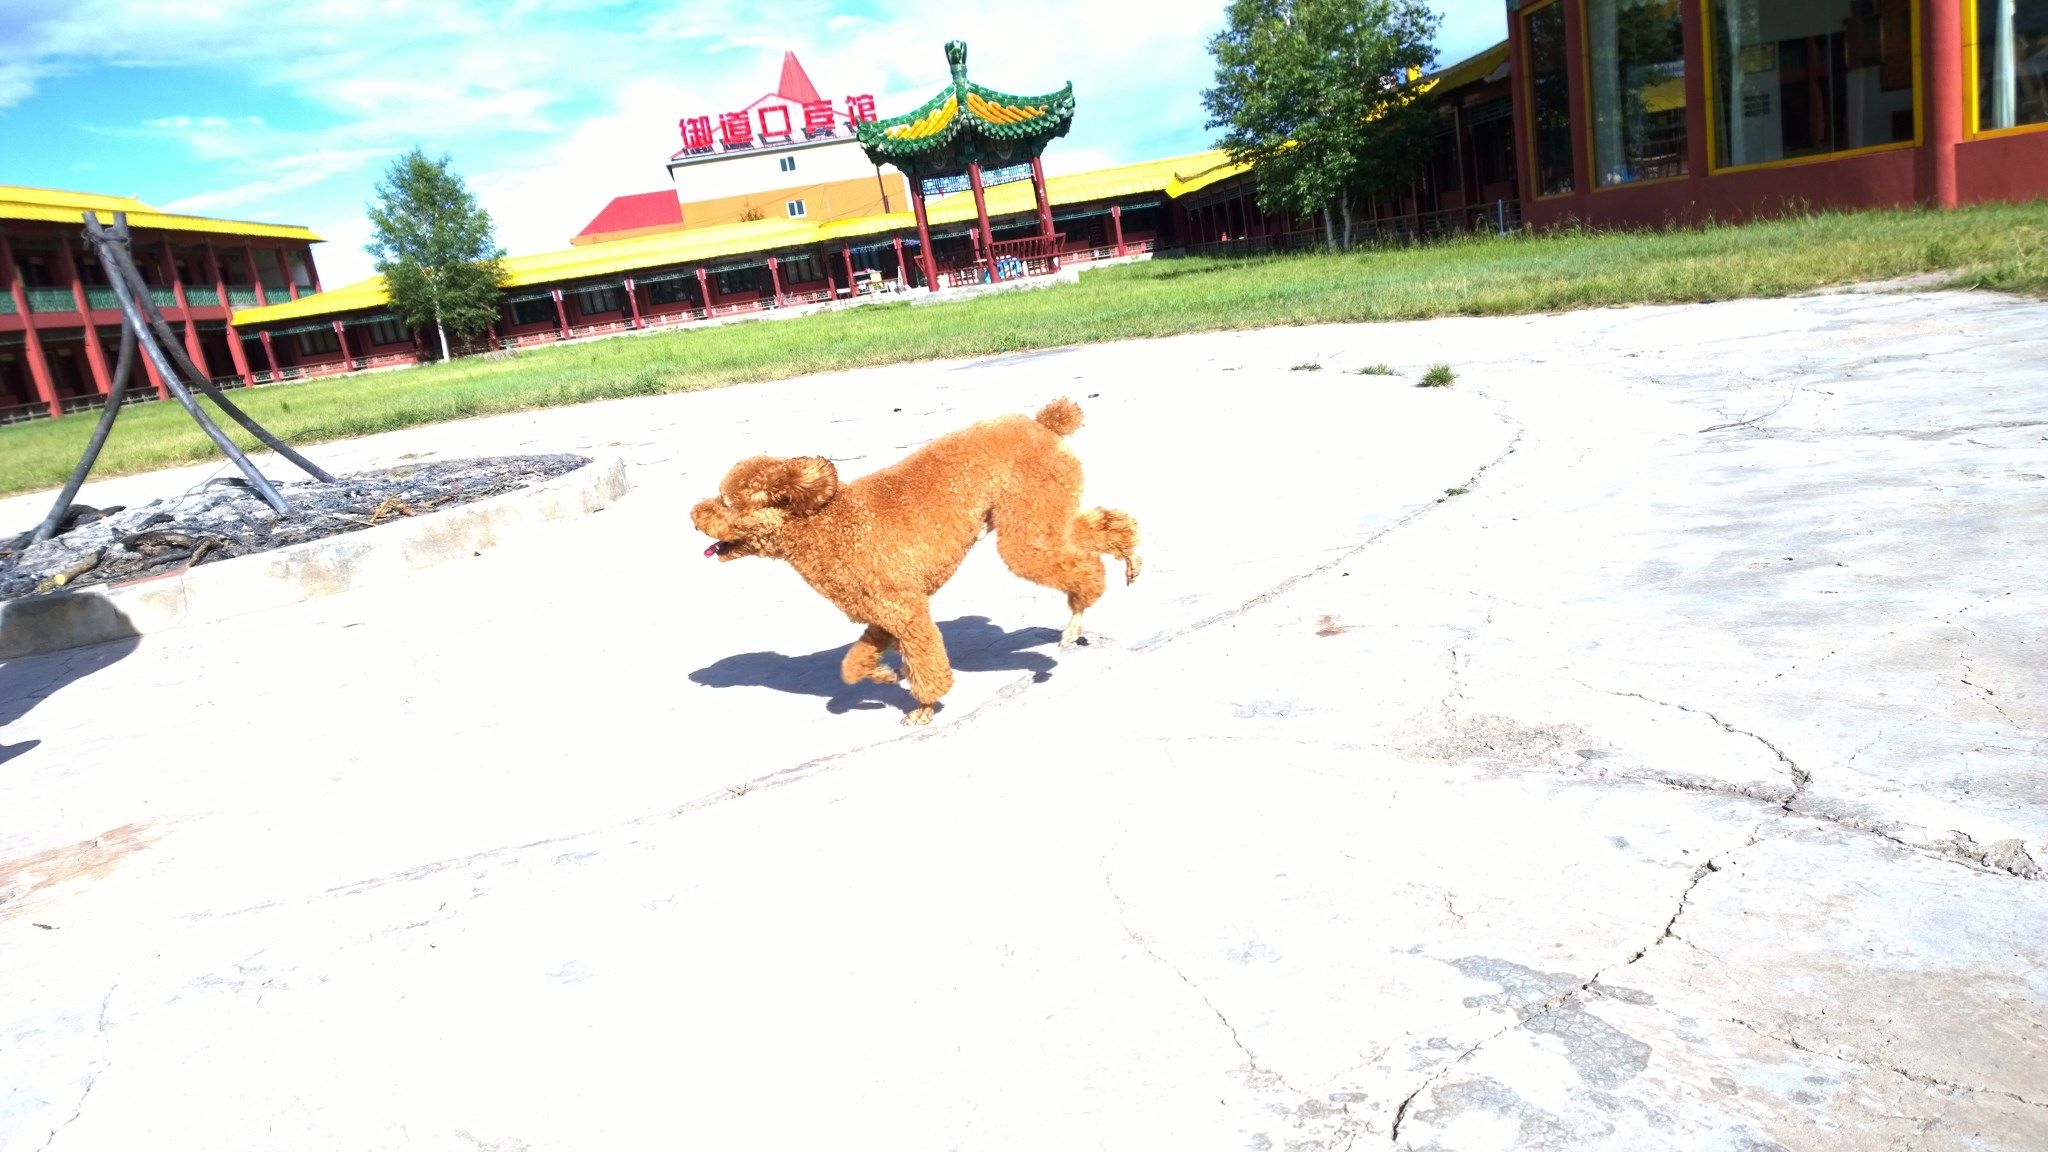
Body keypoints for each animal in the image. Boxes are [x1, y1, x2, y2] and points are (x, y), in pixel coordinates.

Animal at [696, 393, 1146, 717]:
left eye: (728, 503)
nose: (695, 514)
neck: (824, 523)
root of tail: (1042, 423)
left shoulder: (907, 610)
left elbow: (926, 665)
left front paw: (923, 707)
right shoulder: (882, 612)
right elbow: (855, 662)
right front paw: (880, 675)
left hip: (1026, 531)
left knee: (1082, 568)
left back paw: (1075, 617)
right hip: (1042, 516)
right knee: (1102, 528)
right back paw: (1129, 560)